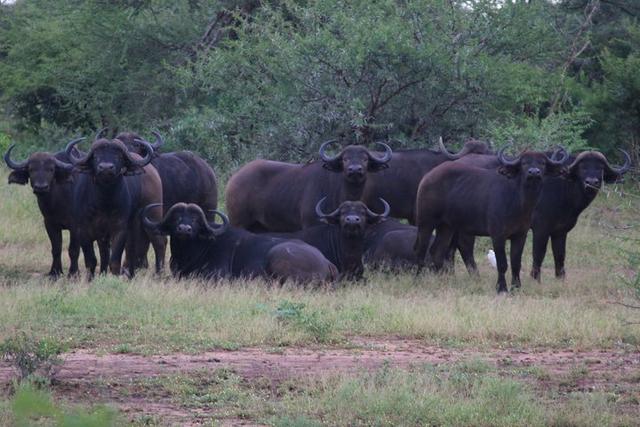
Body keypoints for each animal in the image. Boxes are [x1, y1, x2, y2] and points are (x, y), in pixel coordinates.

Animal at [3, 143, 108, 278]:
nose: (41, 187)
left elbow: (73, 250)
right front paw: (55, 272)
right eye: (31, 169)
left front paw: (73, 273)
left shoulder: (76, 226)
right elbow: (56, 248)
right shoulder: (50, 223)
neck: (57, 200)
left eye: (51, 169)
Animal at [63, 137, 165, 278]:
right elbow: (92, 260)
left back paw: (159, 273)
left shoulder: (119, 229)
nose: (106, 168)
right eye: (95, 156)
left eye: (119, 156)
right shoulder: (83, 230)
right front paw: (92, 278)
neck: (103, 202)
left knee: (159, 241)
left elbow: (114, 261)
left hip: (152, 214)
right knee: (131, 249)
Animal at [225, 141, 396, 232]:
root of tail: (234, 178)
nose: (355, 170)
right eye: (345, 159)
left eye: (365, 159)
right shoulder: (310, 225)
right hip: (238, 222)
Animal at [412, 147, 568, 294]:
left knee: (437, 251)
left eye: (542, 163)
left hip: (447, 226)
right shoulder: (498, 235)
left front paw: (516, 288)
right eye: (524, 163)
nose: (534, 172)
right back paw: (419, 279)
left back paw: (442, 280)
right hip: (425, 222)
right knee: (421, 250)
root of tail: (427, 177)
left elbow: (516, 263)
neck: (518, 201)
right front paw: (502, 288)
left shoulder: (520, 235)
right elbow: (502, 264)